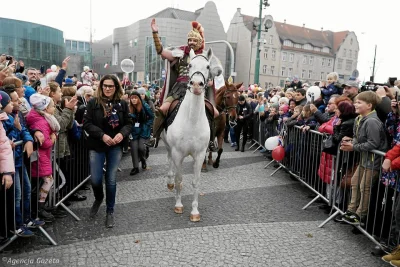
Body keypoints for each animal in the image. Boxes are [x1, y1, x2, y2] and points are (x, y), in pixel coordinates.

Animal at [161, 47, 222, 222]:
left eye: (208, 66)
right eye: (190, 66)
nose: (196, 85)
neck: (192, 120)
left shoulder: (200, 155)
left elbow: (196, 181)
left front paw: (195, 211)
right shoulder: (178, 153)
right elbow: (179, 178)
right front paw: (178, 205)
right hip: (168, 147)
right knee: (170, 163)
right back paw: (170, 182)